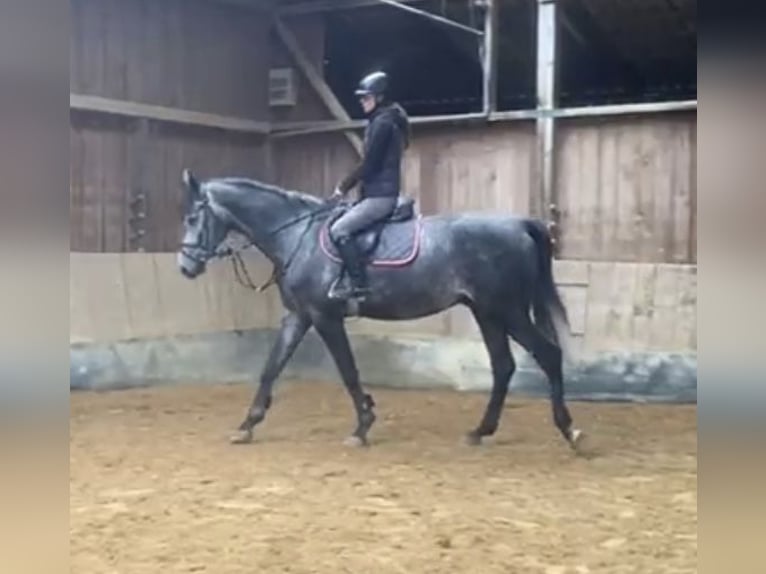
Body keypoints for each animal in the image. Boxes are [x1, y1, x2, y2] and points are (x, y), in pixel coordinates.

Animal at [177, 168, 584, 450]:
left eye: (193, 218)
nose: (185, 268)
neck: (297, 237)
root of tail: (520, 224)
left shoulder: (324, 317)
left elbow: (348, 371)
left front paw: (363, 425)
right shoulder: (299, 315)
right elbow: (271, 368)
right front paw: (247, 425)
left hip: (508, 310)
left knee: (548, 355)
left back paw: (570, 429)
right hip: (487, 312)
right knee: (503, 366)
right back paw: (479, 431)